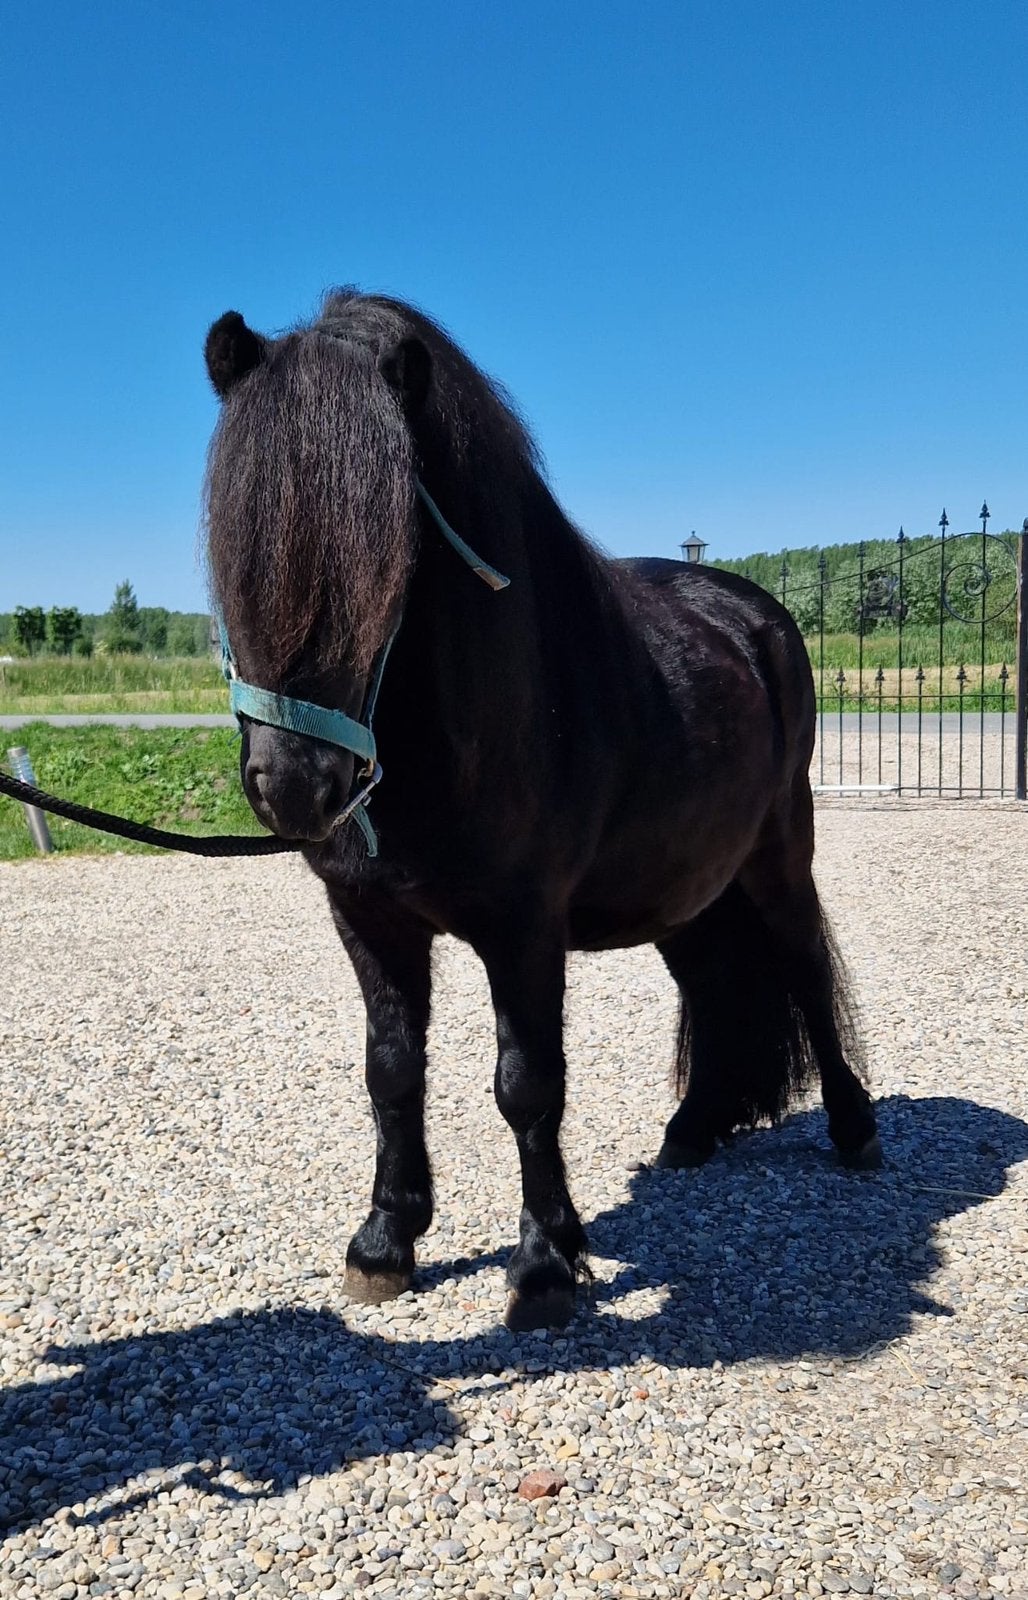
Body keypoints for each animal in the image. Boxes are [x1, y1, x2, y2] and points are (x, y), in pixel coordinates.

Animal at [203, 289, 880, 1331]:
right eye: (233, 539)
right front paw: (386, 1240)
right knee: (712, 983)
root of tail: (755, 616)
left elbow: (527, 1086)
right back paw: (694, 1128)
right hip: (683, 887)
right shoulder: (369, 919)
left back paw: (854, 1132)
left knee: (804, 967)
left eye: (394, 551)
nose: (296, 785)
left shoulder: (523, 928)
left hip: (777, 858)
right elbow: (391, 1071)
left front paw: (546, 1266)